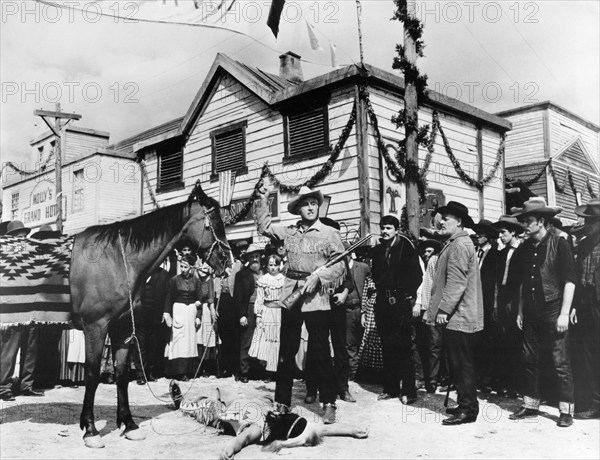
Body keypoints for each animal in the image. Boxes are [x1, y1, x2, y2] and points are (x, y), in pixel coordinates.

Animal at [69, 181, 231, 448]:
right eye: (215, 222)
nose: (227, 260)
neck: (115, 258)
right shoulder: (95, 327)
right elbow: (92, 375)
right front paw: (90, 429)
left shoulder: (123, 325)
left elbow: (122, 374)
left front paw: (129, 424)